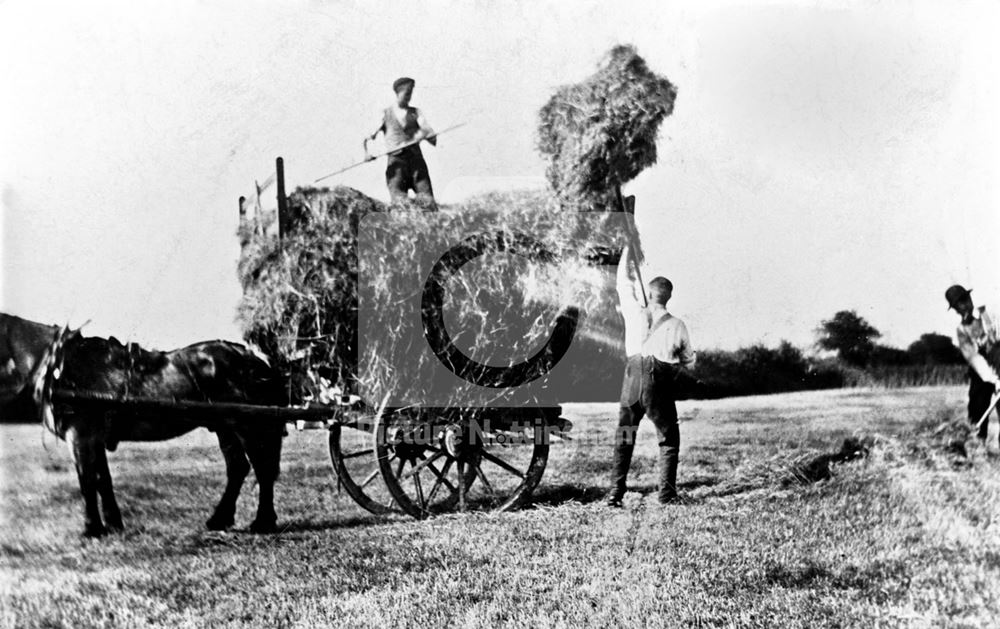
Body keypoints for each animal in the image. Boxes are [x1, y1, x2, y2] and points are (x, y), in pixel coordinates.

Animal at [0, 312, 290, 536]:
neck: (60, 367)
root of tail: (251, 357)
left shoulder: (79, 435)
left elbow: (86, 481)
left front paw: (92, 528)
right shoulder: (93, 438)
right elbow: (103, 480)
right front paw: (113, 524)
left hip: (246, 425)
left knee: (262, 470)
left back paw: (262, 522)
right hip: (225, 426)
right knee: (238, 468)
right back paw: (220, 519)